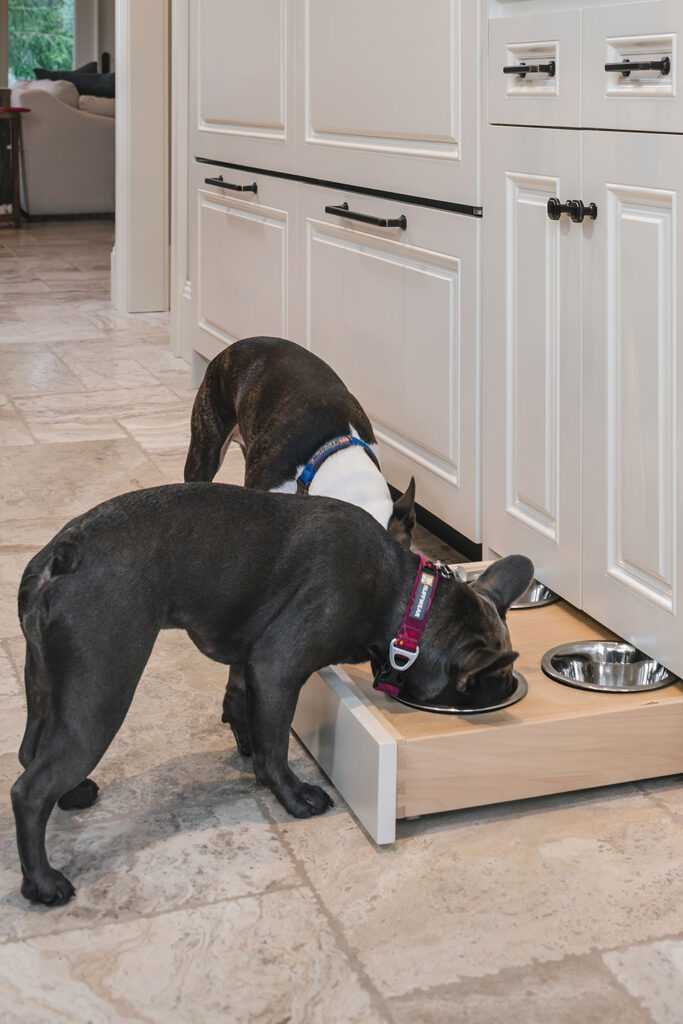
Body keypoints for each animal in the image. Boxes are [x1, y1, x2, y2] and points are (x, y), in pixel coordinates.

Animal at [12, 483, 532, 909]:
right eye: (489, 685)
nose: (504, 691)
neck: (407, 601)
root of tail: (63, 554)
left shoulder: (253, 668)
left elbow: (249, 718)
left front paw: (251, 757)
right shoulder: (278, 669)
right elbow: (277, 745)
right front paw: (295, 796)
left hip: (45, 682)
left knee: (30, 752)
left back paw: (73, 793)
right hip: (101, 690)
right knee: (30, 789)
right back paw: (43, 884)